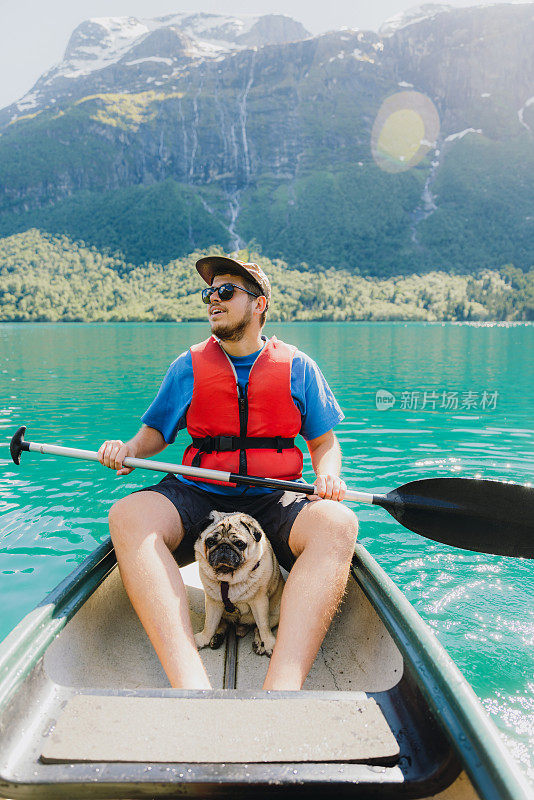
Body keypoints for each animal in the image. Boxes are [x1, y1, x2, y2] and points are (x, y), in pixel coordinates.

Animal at [193, 512, 284, 656]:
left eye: (240, 544)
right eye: (211, 542)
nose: (224, 546)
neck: (228, 579)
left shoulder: (260, 602)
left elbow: (263, 626)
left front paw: (269, 643)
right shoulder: (213, 602)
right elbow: (209, 624)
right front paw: (204, 639)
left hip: (276, 613)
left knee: (258, 628)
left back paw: (260, 643)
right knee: (222, 624)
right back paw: (217, 637)